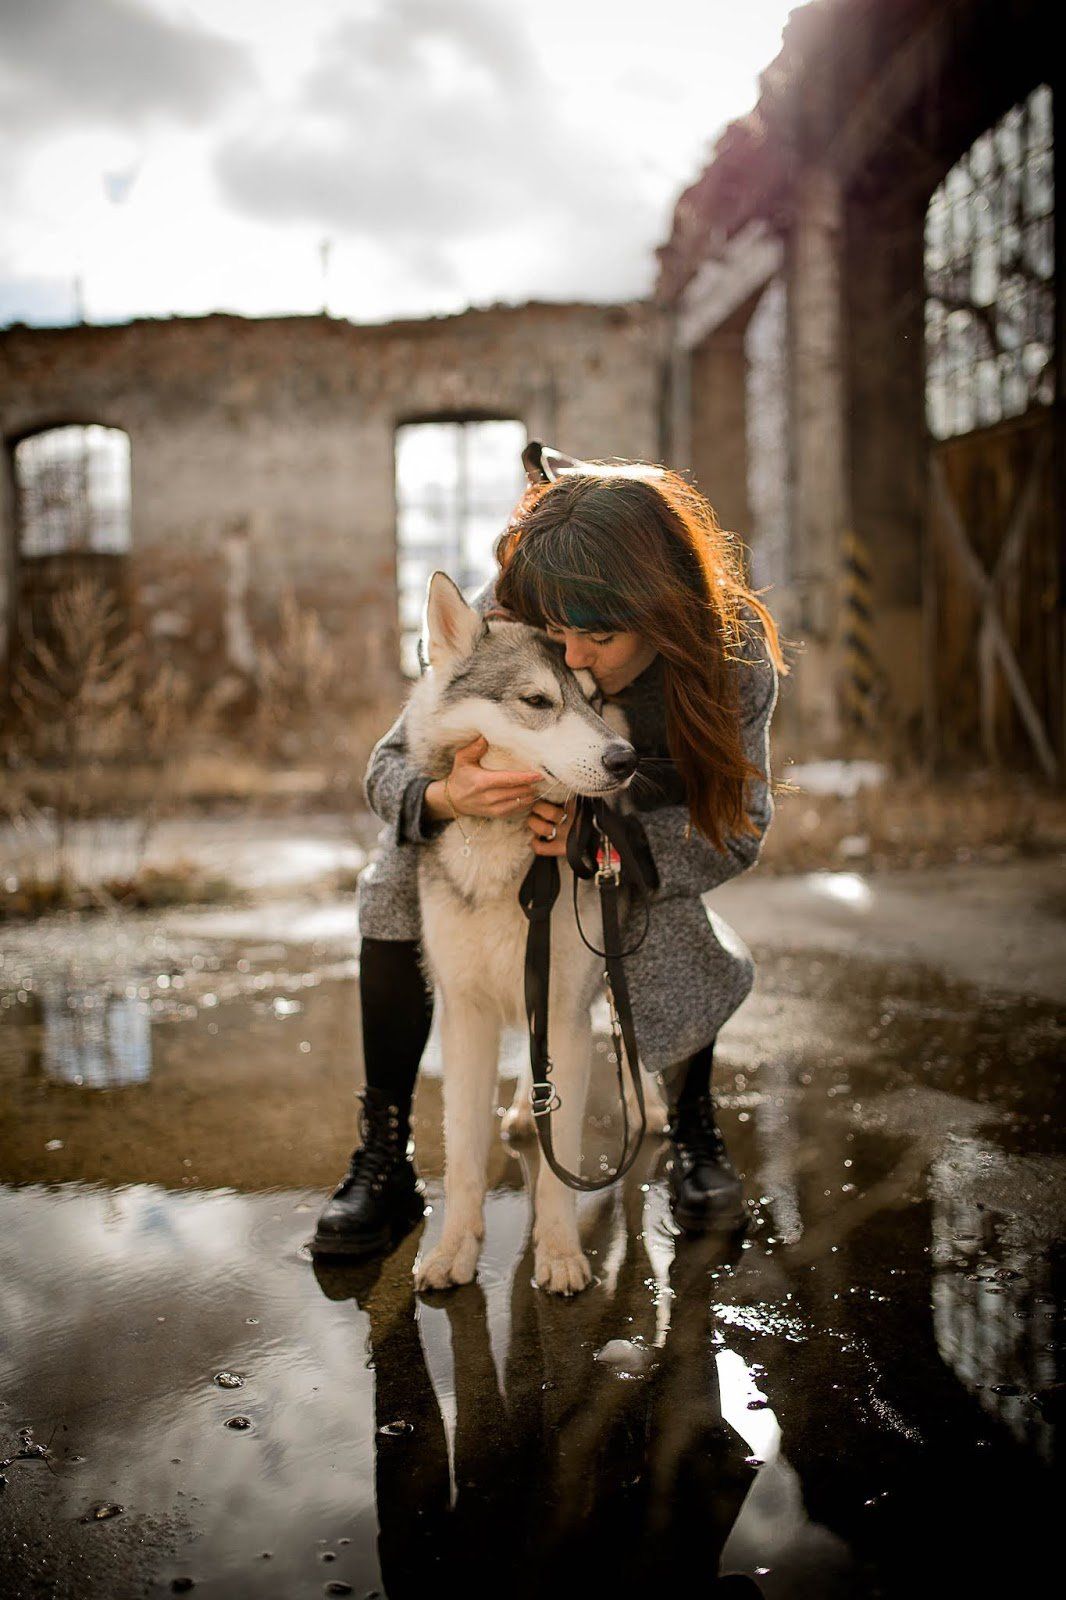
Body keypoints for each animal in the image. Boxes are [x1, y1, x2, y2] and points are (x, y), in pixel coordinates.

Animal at [406, 572, 665, 1296]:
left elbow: (560, 1165)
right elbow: (464, 1156)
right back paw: (526, 1106)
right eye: (537, 701)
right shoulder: (464, 1014)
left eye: (595, 699)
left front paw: (559, 1254)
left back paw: (653, 1104)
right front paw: (454, 1250)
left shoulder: (568, 1008)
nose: (626, 759)